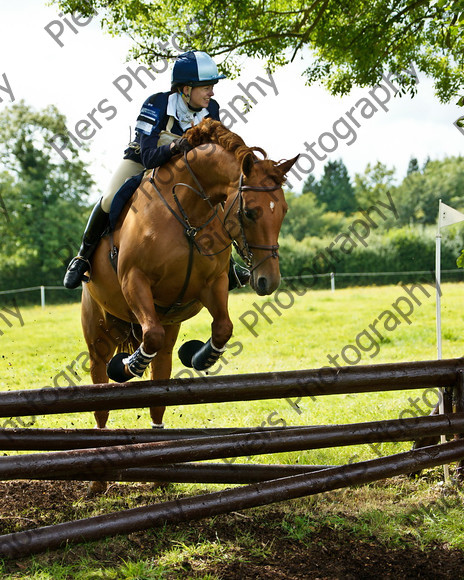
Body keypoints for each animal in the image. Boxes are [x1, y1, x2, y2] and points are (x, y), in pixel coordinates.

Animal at [80, 119, 298, 430]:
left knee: (158, 383)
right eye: (250, 212)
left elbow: (223, 328)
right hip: (98, 333)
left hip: (165, 335)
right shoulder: (134, 279)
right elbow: (151, 336)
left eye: (283, 211)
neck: (188, 216)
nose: (269, 281)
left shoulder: (213, 283)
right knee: (101, 396)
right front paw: (126, 366)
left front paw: (199, 356)